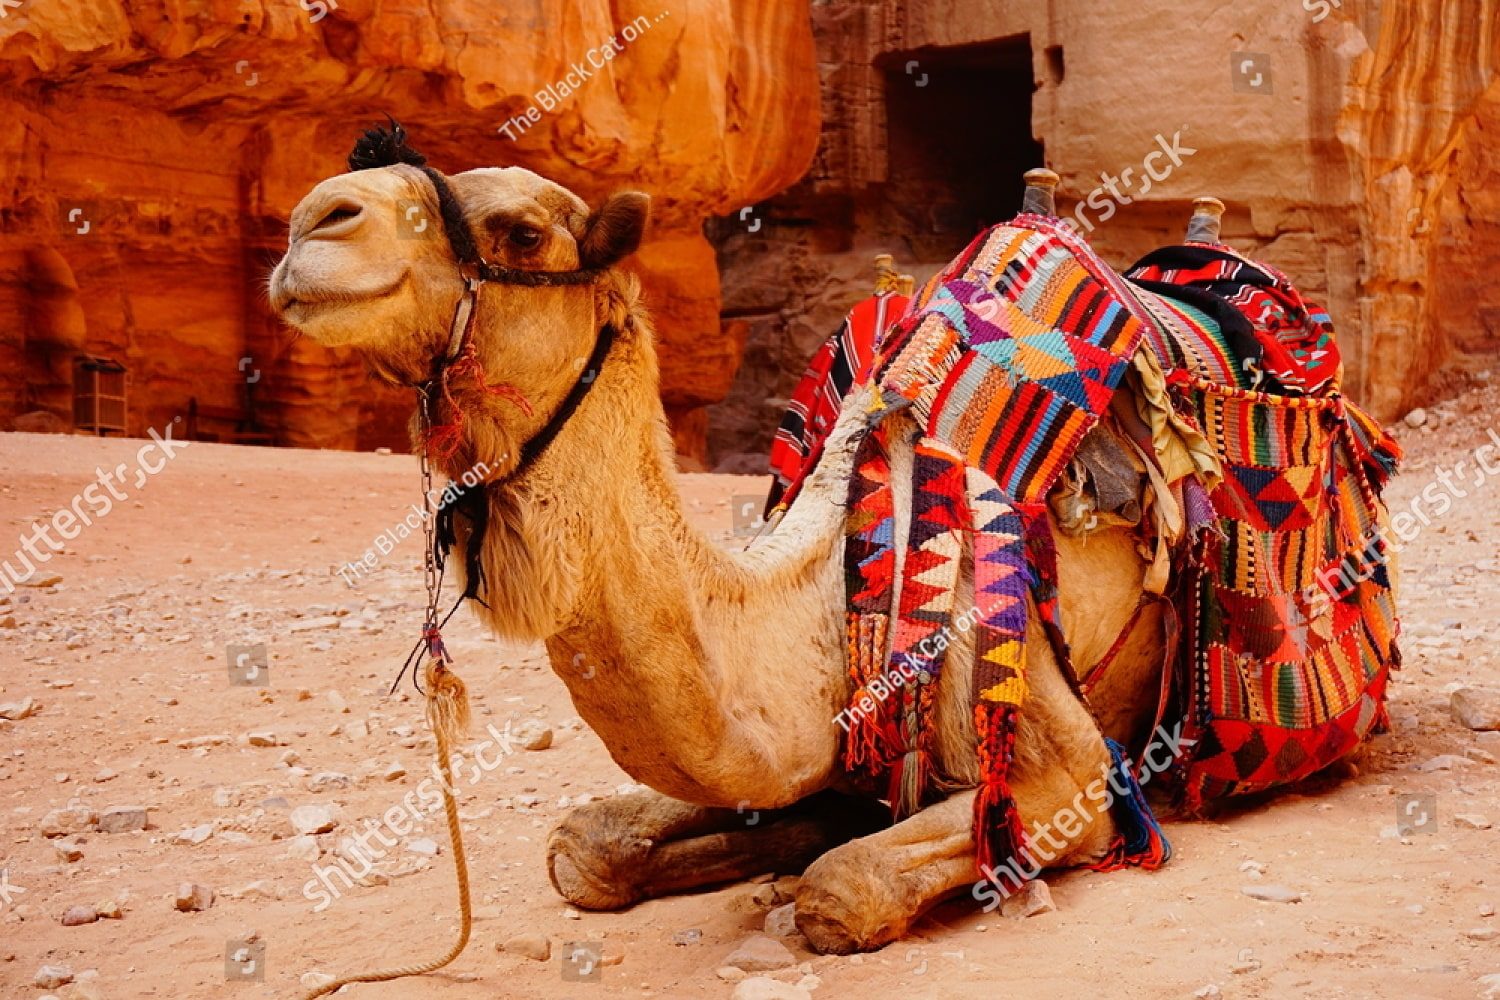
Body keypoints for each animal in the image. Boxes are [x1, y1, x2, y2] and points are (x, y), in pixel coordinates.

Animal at [268, 145, 1183, 955]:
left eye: (523, 233)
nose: (317, 217)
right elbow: (583, 847)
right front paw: (779, 834)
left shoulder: (1071, 770)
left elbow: (841, 887)